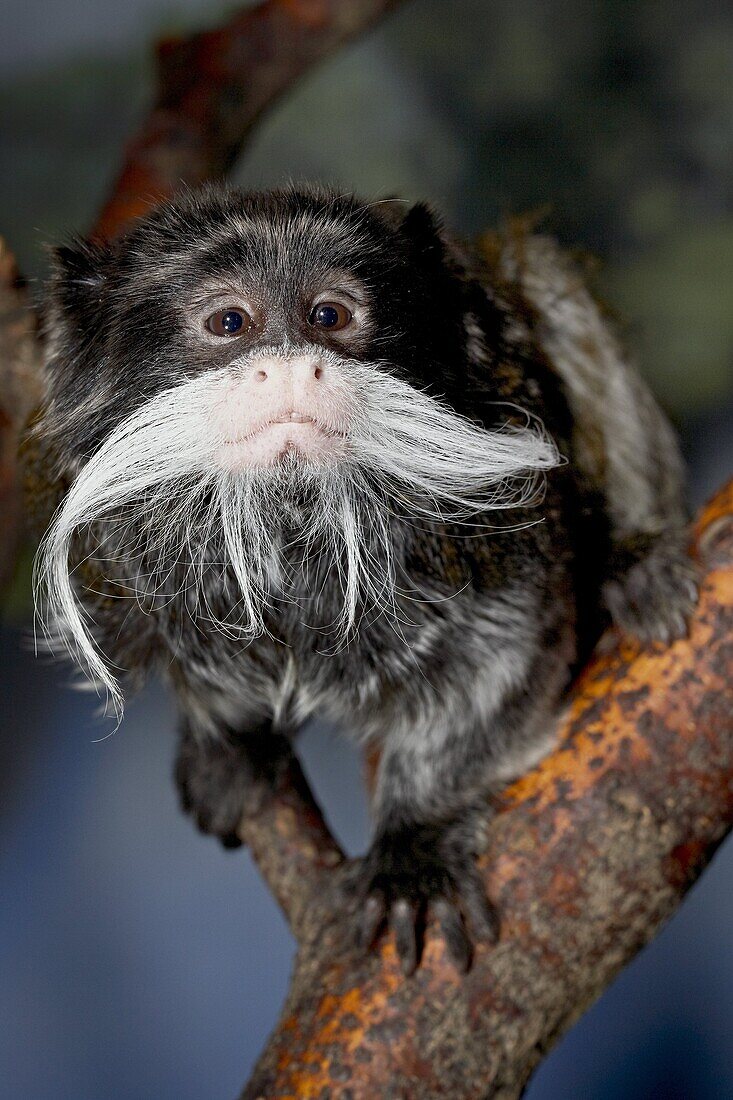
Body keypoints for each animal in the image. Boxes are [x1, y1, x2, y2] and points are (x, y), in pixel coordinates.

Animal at [24, 184, 695, 976]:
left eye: (329, 317)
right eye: (229, 322)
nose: (292, 367)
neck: (290, 526)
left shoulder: (495, 534)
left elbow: (507, 657)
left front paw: (416, 840)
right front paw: (223, 742)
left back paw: (632, 565)